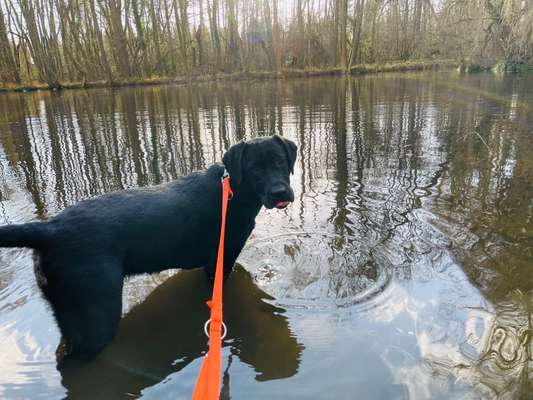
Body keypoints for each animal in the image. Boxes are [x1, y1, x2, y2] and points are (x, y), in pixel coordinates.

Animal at [0, 136, 296, 358]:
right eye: (254, 169)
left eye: (281, 162)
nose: (280, 193)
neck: (234, 190)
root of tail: (50, 229)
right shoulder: (220, 262)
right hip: (96, 315)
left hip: (69, 315)